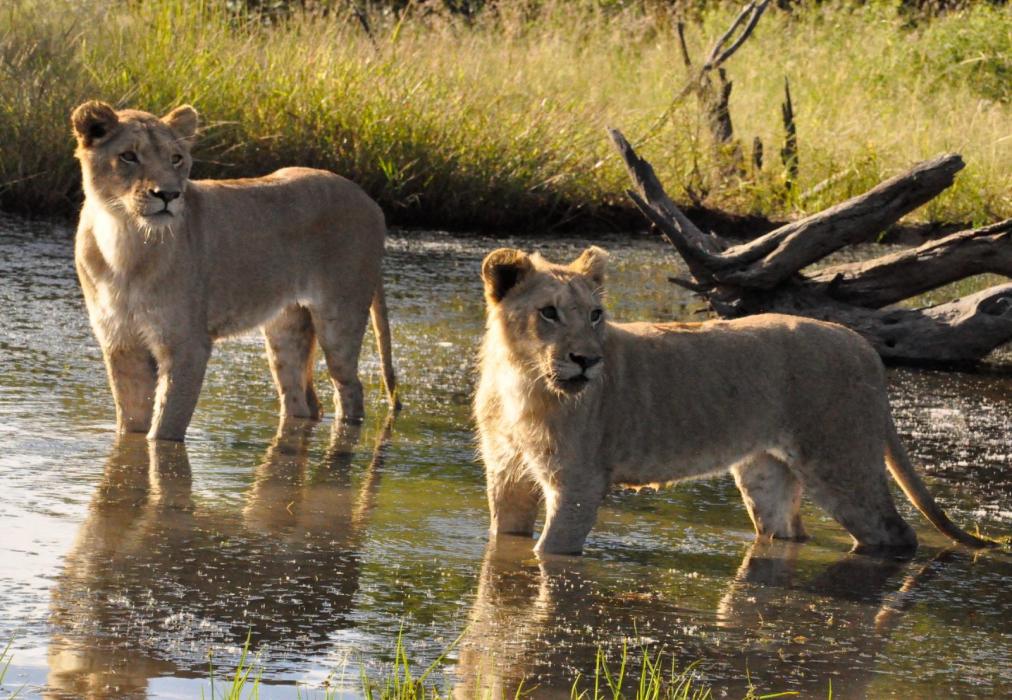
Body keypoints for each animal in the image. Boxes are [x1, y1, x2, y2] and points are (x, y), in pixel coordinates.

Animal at [71, 101, 398, 441]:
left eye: (176, 159)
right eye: (128, 156)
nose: (169, 195)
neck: (124, 240)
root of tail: (369, 199)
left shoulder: (187, 345)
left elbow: (164, 430)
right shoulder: (120, 342)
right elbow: (131, 424)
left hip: (340, 319)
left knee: (350, 389)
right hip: (286, 328)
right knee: (301, 401)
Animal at [474, 246, 994, 555]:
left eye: (596, 315)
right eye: (548, 313)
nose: (586, 361)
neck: (521, 382)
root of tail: (863, 344)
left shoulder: (578, 481)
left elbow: (549, 551)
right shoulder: (506, 472)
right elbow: (504, 538)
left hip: (841, 462)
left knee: (895, 534)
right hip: (766, 473)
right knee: (786, 530)